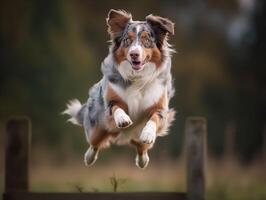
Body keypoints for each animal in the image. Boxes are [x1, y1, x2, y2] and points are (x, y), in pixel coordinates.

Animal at [63, 9, 176, 169]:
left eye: (146, 40)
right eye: (127, 40)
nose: (134, 54)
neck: (137, 77)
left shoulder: (159, 107)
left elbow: (153, 118)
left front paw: (148, 134)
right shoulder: (111, 100)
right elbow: (116, 107)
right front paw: (123, 119)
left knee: (141, 148)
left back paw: (143, 160)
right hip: (98, 128)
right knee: (94, 143)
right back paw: (89, 158)